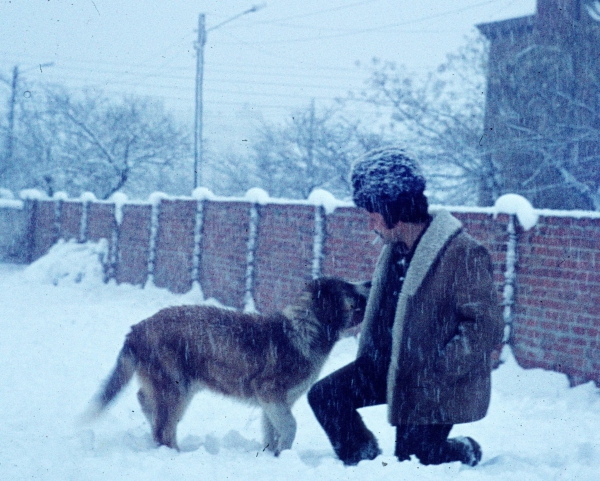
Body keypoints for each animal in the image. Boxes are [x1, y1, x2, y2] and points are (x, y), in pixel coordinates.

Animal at [86, 278, 368, 454]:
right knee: (162, 429)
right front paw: (283, 453)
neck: (305, 329)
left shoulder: (274, 404)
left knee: (150, 407)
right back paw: (174, 454)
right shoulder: (270, 394)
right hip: (176, 389)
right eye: (348, 289)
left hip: (176, 389)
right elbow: (290, 427)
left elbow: (272, 431)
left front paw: (274, 456)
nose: (369, 282)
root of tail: (138, 328)